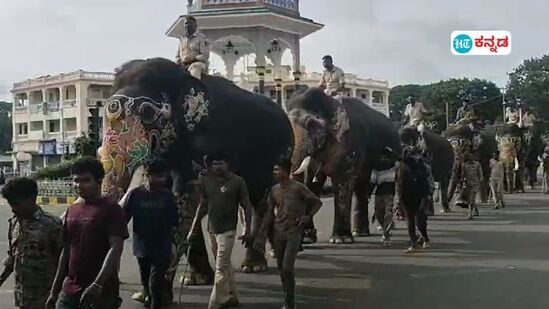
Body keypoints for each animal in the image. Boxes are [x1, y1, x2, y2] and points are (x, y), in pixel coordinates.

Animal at [100, 57, 294, 288]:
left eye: (147, 113)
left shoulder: (201, 148)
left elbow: (185, 201)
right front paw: (195, 280)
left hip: (278, 154)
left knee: (261, 199)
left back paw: (254, 266)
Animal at [286, 88, 398, 243]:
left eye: (311, 124)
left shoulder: (347, 146)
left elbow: (342, 183)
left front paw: (340, 240)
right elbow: (313, 184)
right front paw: (308, 239)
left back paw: (361, 233)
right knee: (362, 188)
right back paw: (360, 233)